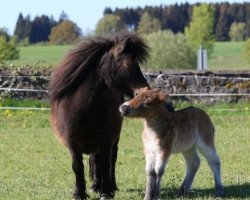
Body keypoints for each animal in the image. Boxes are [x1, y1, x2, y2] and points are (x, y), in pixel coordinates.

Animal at [49, 32, 149, 199]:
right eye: (129, 64)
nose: (144, 91)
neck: (81, 108)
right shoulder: (71, 142)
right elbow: (77, 166)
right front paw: (79, 193)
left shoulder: (105, 139)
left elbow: (105, 164)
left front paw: (106, 192)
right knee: (95, 160)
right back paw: (95, 185)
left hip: (113, 140)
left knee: (111, 159)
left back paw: (110, 185)